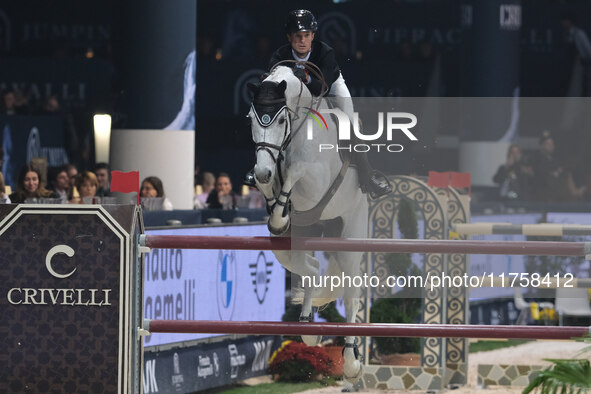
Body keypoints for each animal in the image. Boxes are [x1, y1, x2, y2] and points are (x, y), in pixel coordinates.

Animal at [247, 66, 368, 384]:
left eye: (279, 119)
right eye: (251, 117)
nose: (263, 172)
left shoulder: (314, 180)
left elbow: (295, 170)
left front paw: (280, 208)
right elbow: (272, 185)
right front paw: (277, 213)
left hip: (350, 237)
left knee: (351, 295)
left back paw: (351, 362)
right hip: (290, 245)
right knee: (310, 268)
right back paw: (308, 328)